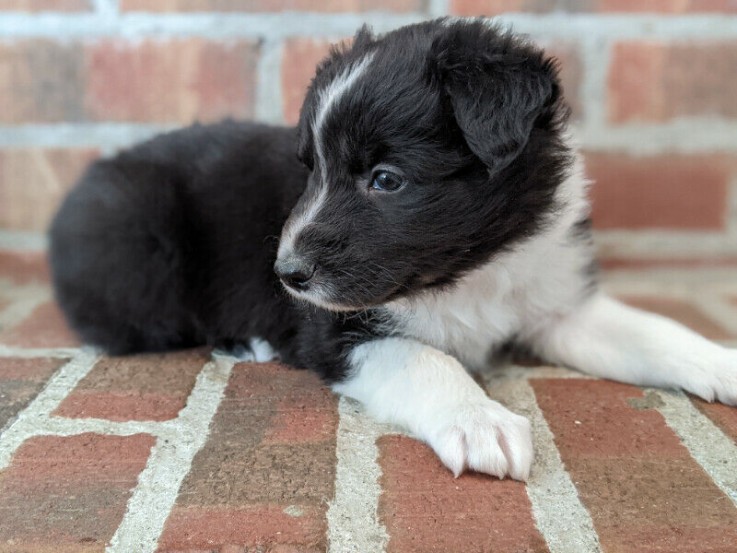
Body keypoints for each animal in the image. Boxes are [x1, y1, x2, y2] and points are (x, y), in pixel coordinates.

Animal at [51, 19, 736, 480]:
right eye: (310, 171)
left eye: (386, 179)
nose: (286, 275)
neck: (469, 271)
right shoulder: (338, 332)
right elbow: (425, 360)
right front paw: (480, 420)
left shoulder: (559, 303)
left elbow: (653, 331)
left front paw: (721, 361)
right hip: (139, 255)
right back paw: (249, 342)